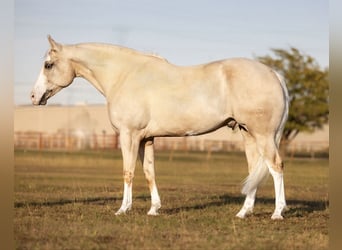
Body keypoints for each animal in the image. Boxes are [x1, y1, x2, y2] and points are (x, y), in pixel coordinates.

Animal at [31, 35, 288, 219]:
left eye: (48, 65)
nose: (34, 97)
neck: (124, 75)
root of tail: (273, 73)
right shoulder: (146, 138)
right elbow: (149, 171)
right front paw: (154, 208)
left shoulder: (129, 135)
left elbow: (128, 171)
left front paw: (123, 209)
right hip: (249, 134)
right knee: (255, 169)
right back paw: (243, 212)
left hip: (263, 135)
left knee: (275, 166)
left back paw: (278, 212)